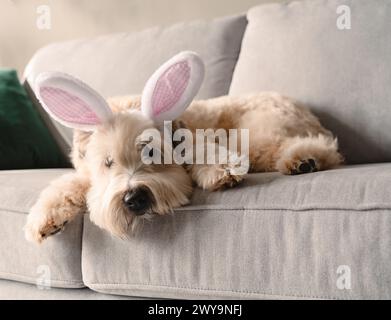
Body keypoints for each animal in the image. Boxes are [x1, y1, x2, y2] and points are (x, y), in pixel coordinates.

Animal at [24, 52, 344, 242]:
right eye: (108, 162)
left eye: (151, 152)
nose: (134, 199)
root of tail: (306, 111)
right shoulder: (86, 176)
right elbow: (66, 185)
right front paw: (44, 219)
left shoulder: (195, 138)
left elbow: (204, 150)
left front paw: (222, 170)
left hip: (257, 134)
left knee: (321, 148)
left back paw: (305, 159)